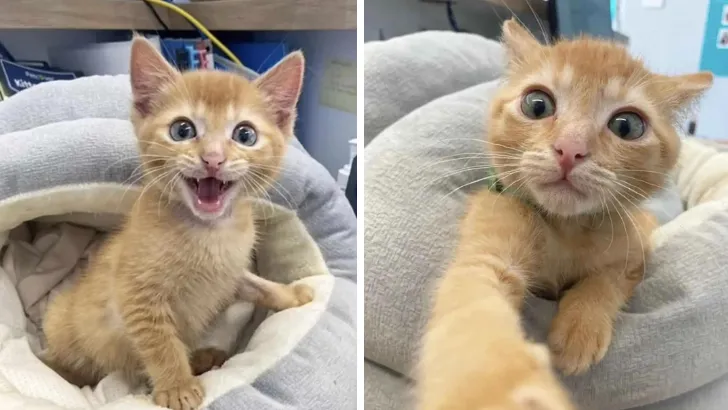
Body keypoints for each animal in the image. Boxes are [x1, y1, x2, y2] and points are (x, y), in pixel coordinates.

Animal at [41, 38, 312, 410]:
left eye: (245, 134)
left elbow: (258, 285)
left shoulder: (230, 273)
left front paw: (293, 294)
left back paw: (202, 358)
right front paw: (177, 387)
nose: (213, 159)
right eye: (182, 130)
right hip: (60, 322)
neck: (209, 232)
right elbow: (161, 344)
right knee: (70, 365)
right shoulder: (137, 293)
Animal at [418, 20, 712, 410]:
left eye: (627, 126)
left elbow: (607, 279)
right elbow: (474, 313)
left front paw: (580, 328)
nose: (571, 149)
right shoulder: (487, 246)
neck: (566, 229)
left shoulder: (636, 247)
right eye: (537, 104)